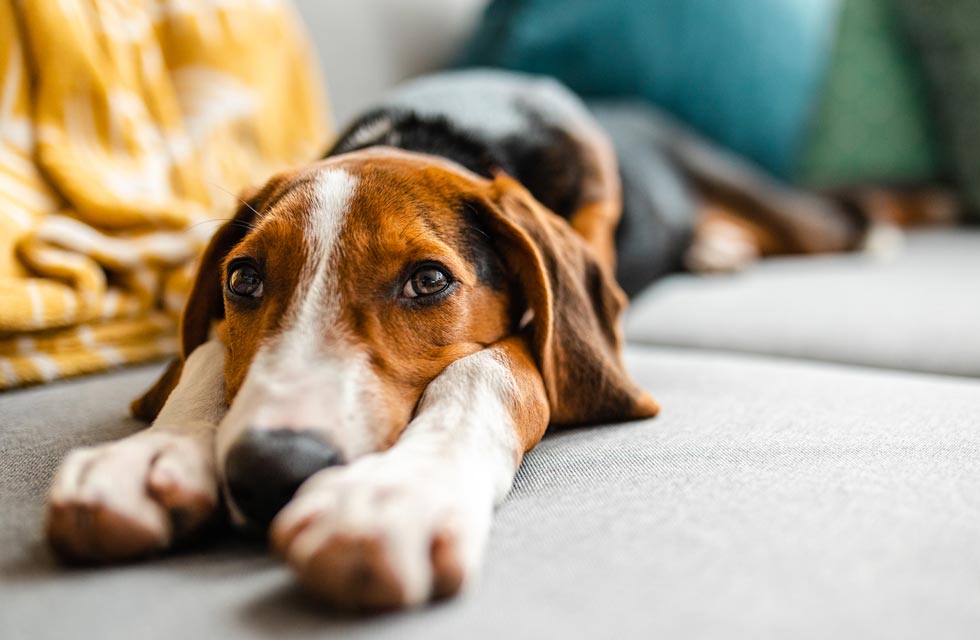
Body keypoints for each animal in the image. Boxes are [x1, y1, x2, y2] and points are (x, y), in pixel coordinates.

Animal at [44, 70, 888, 608]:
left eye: (428, 281)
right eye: (243, 280)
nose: (271, 469)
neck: (435, 131)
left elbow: (490, 372)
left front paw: (395, 495)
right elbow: (207, 353)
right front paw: (149, 453)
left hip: (761, 194)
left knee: (839, 220)